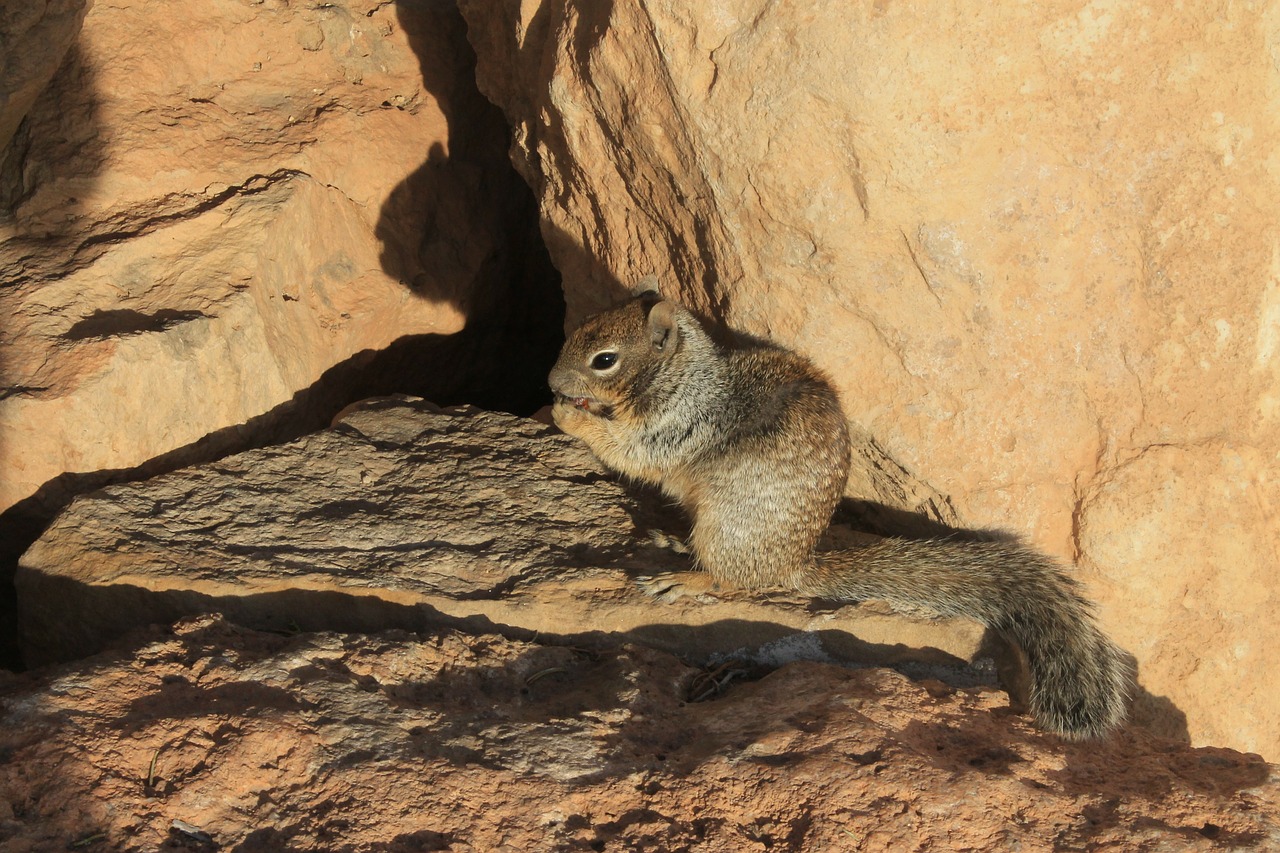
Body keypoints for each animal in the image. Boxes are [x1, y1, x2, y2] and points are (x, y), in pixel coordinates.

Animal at [550, 285, 1131, 737]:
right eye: (577, 328)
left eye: (604, 359)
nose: (552, 384)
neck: (681, 375)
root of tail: (797, 562)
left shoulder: (674, 424)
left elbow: (631, 451)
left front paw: (570, 417)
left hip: (727, 527)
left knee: (738, 582)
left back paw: (686, 580)